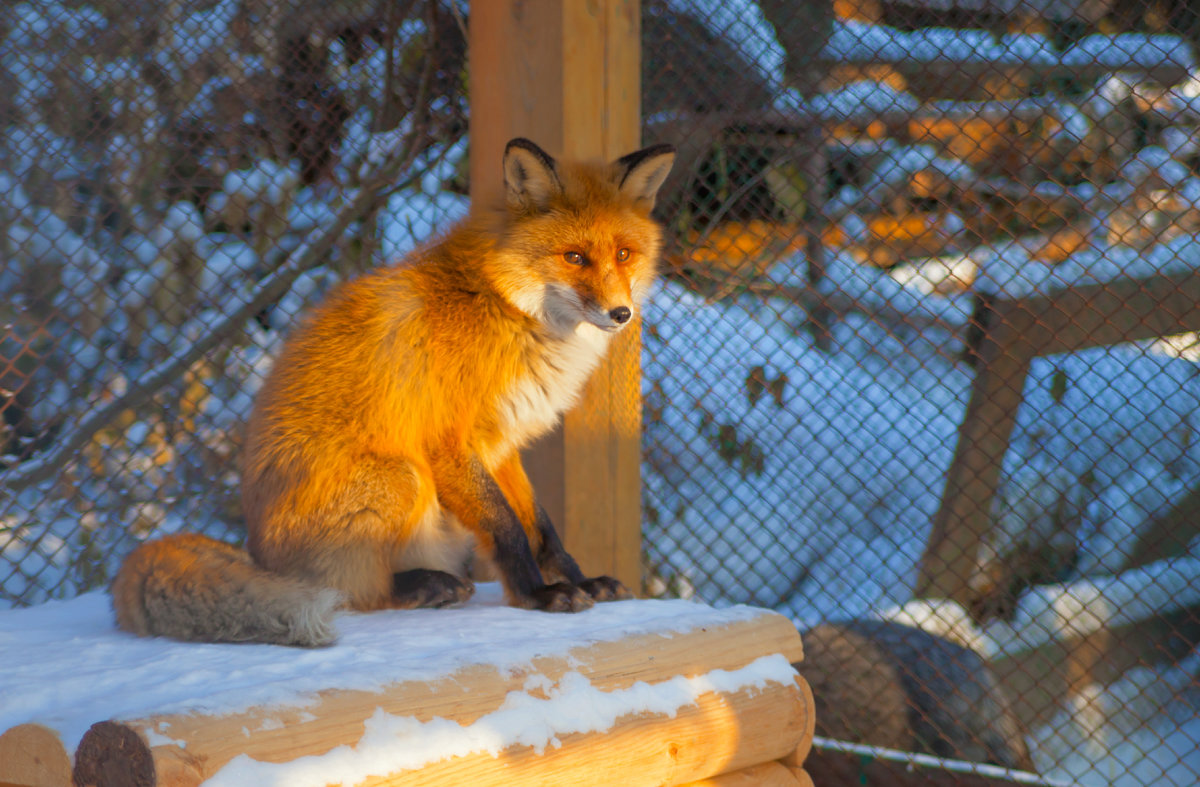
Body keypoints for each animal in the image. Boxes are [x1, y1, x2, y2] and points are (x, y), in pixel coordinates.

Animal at [109, 139, 676, 647]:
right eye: (574, 257)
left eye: (624, 254)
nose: (620, 314)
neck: (504, 307)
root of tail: (258, 555)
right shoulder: (450, 444)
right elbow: (508, 531)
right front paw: (538, 597)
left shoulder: (502, 444)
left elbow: (542, 530)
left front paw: (579, 582)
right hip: (402, 477)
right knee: (356, 592)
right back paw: (425, 586)